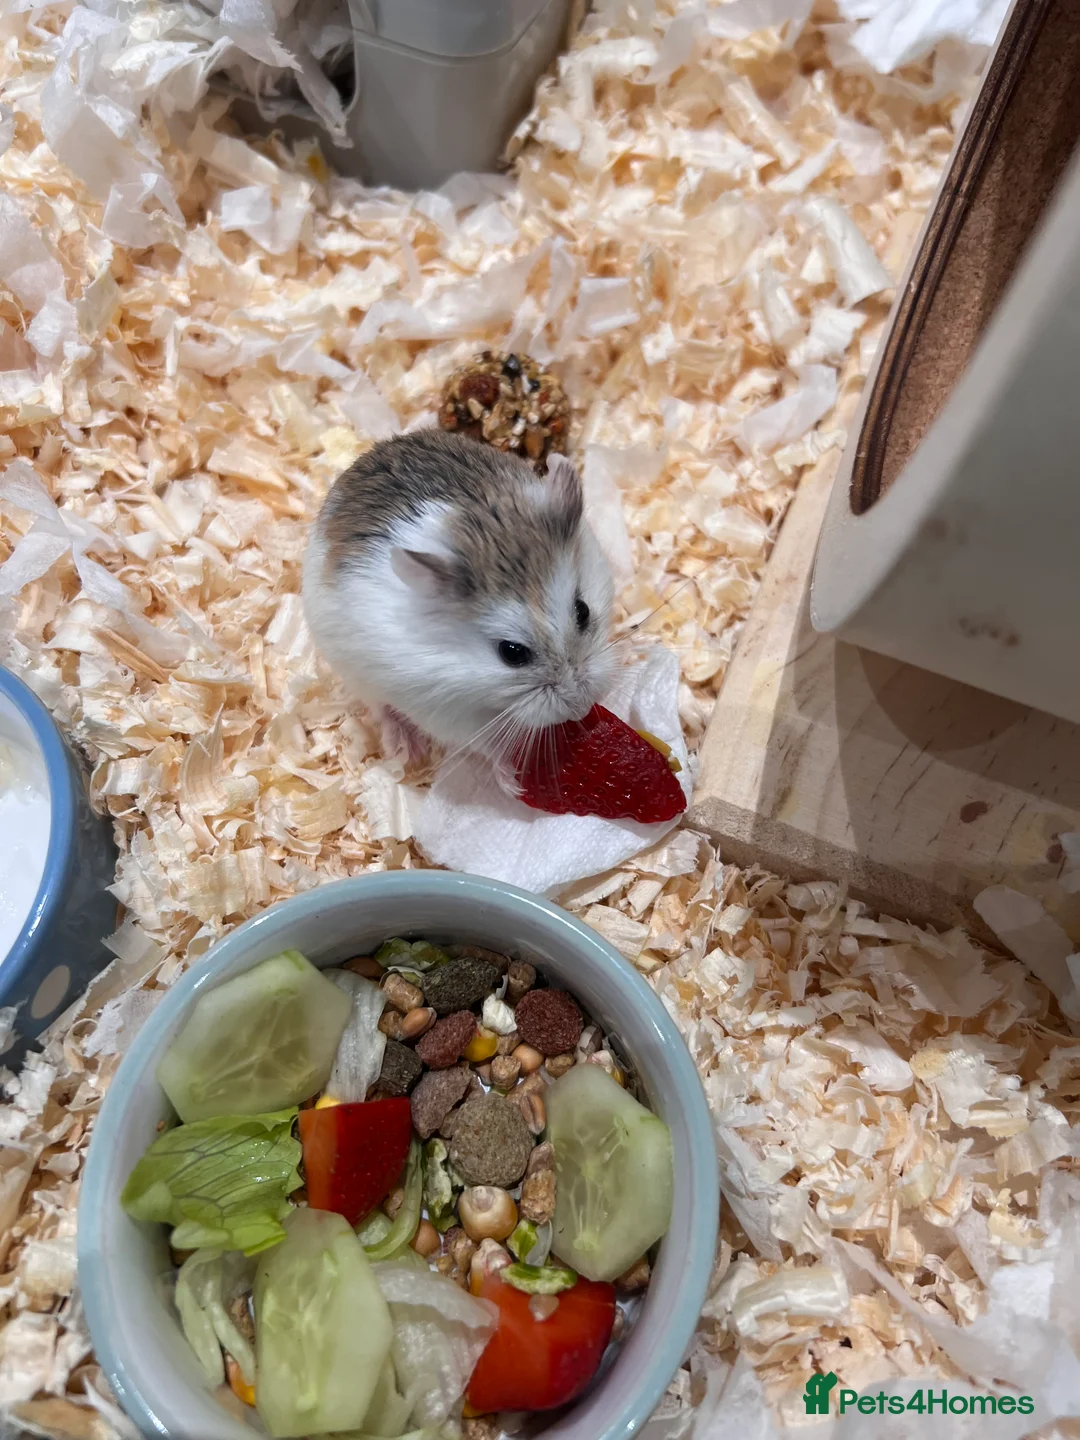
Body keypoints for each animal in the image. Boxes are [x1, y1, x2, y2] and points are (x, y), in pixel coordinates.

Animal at [302, 429, 616, 784]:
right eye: (511, 653)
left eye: (583, 611)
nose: (581, 707)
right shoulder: (444, 713)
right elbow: (487, 745)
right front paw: (511, 779)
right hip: (352, 670)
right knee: (379, 706)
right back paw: (407, 750)